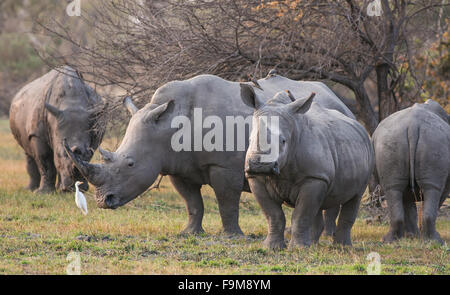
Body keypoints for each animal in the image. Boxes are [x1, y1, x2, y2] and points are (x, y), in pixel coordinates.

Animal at [241, 86, 374, 251]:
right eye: (250, 139)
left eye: (283, 141)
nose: (260, 165)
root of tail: (358, 125)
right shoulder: (255, 177)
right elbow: (273, 214)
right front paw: (271, 248)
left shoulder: (315, 176)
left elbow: (301, 215)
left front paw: (297, 249)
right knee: (317, 206)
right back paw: (312, 245)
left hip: (367, 152)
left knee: (355, 197)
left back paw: (342, 247)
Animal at [372, 100, 450, 245]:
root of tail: (413, 126)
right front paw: (415, 236)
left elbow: (409, 203)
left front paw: (412, 236)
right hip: (434, 140)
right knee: (432, 189)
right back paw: (437, 241)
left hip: (392, 140)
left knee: (393, 189)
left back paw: (389, 241)